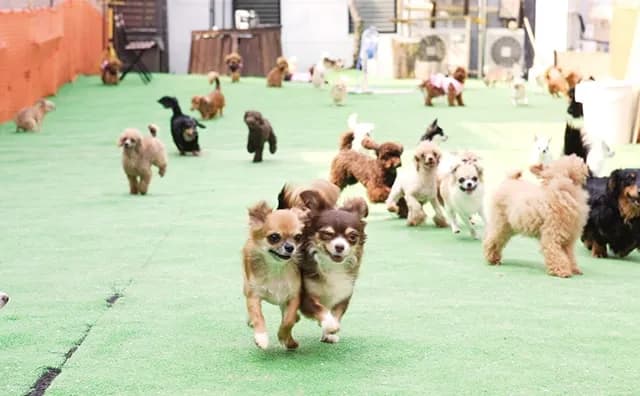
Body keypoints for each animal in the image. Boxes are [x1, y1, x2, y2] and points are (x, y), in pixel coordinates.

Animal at [242, 201, 308, 350]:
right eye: (274, 237)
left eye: (298, 237)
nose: (290, 247)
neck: (277, 268)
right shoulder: (254, 296)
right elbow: (258, 316)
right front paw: (261, 338)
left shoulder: (294, 296)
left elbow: (288, 320)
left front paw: (284, 337)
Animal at [296, 189, 368, 344]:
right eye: (327, 234)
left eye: (352, 236)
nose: (340, 246)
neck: (332, 266)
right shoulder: (305, 297)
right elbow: (320, 309)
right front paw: (331, 326)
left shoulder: (343, 295)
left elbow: (335, 313)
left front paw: (328, 334)